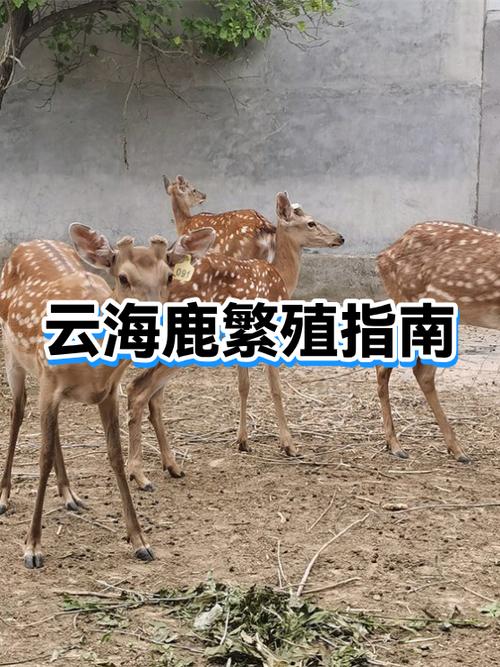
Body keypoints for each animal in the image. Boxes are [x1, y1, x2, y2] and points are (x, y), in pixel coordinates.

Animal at [0, 224, 215, 568]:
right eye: (123, 277)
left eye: (169, 276)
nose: (157, 324)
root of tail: (28, 243)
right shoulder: (49, 382)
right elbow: (42, 457)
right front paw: (32, 547)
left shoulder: (108, 391)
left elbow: (115, 455)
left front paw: (140, 540)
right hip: (13, 355)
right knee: (17, 413)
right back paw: (5, 496)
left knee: (53, 431)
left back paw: (70, 495)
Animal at [126, 192, 344, 491]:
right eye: (310, 222)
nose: (340, 237)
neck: (282, 278)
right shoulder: (270, 331)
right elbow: (275, 389)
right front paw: (289, 445)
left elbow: (243, 385)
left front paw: (242, 441)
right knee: (139, 390)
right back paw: (139, 475)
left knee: (151, 394)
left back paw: (171, 465)